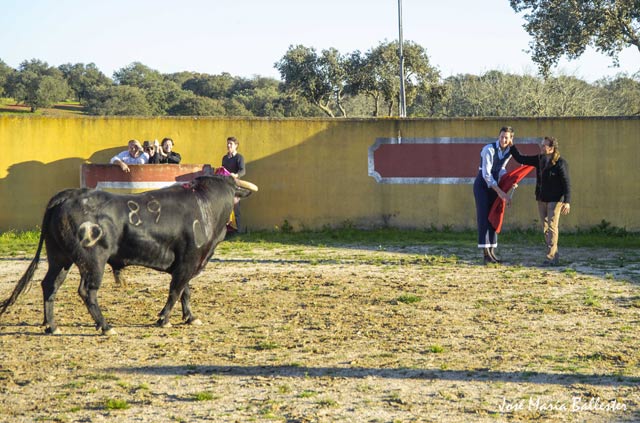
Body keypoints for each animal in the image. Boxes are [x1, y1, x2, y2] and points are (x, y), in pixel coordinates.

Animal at [0, 176, 254, 334]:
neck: (206, 206)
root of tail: (67, 196)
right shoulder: (188, 262)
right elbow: (176, 291)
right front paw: (163, 319)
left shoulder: (187, 263)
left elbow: (185, 291)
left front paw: (190, 318)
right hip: (93, 261)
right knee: (87, 291)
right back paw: (105, 326)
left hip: (60, 258)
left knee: (50, 285)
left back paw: (51, 326)